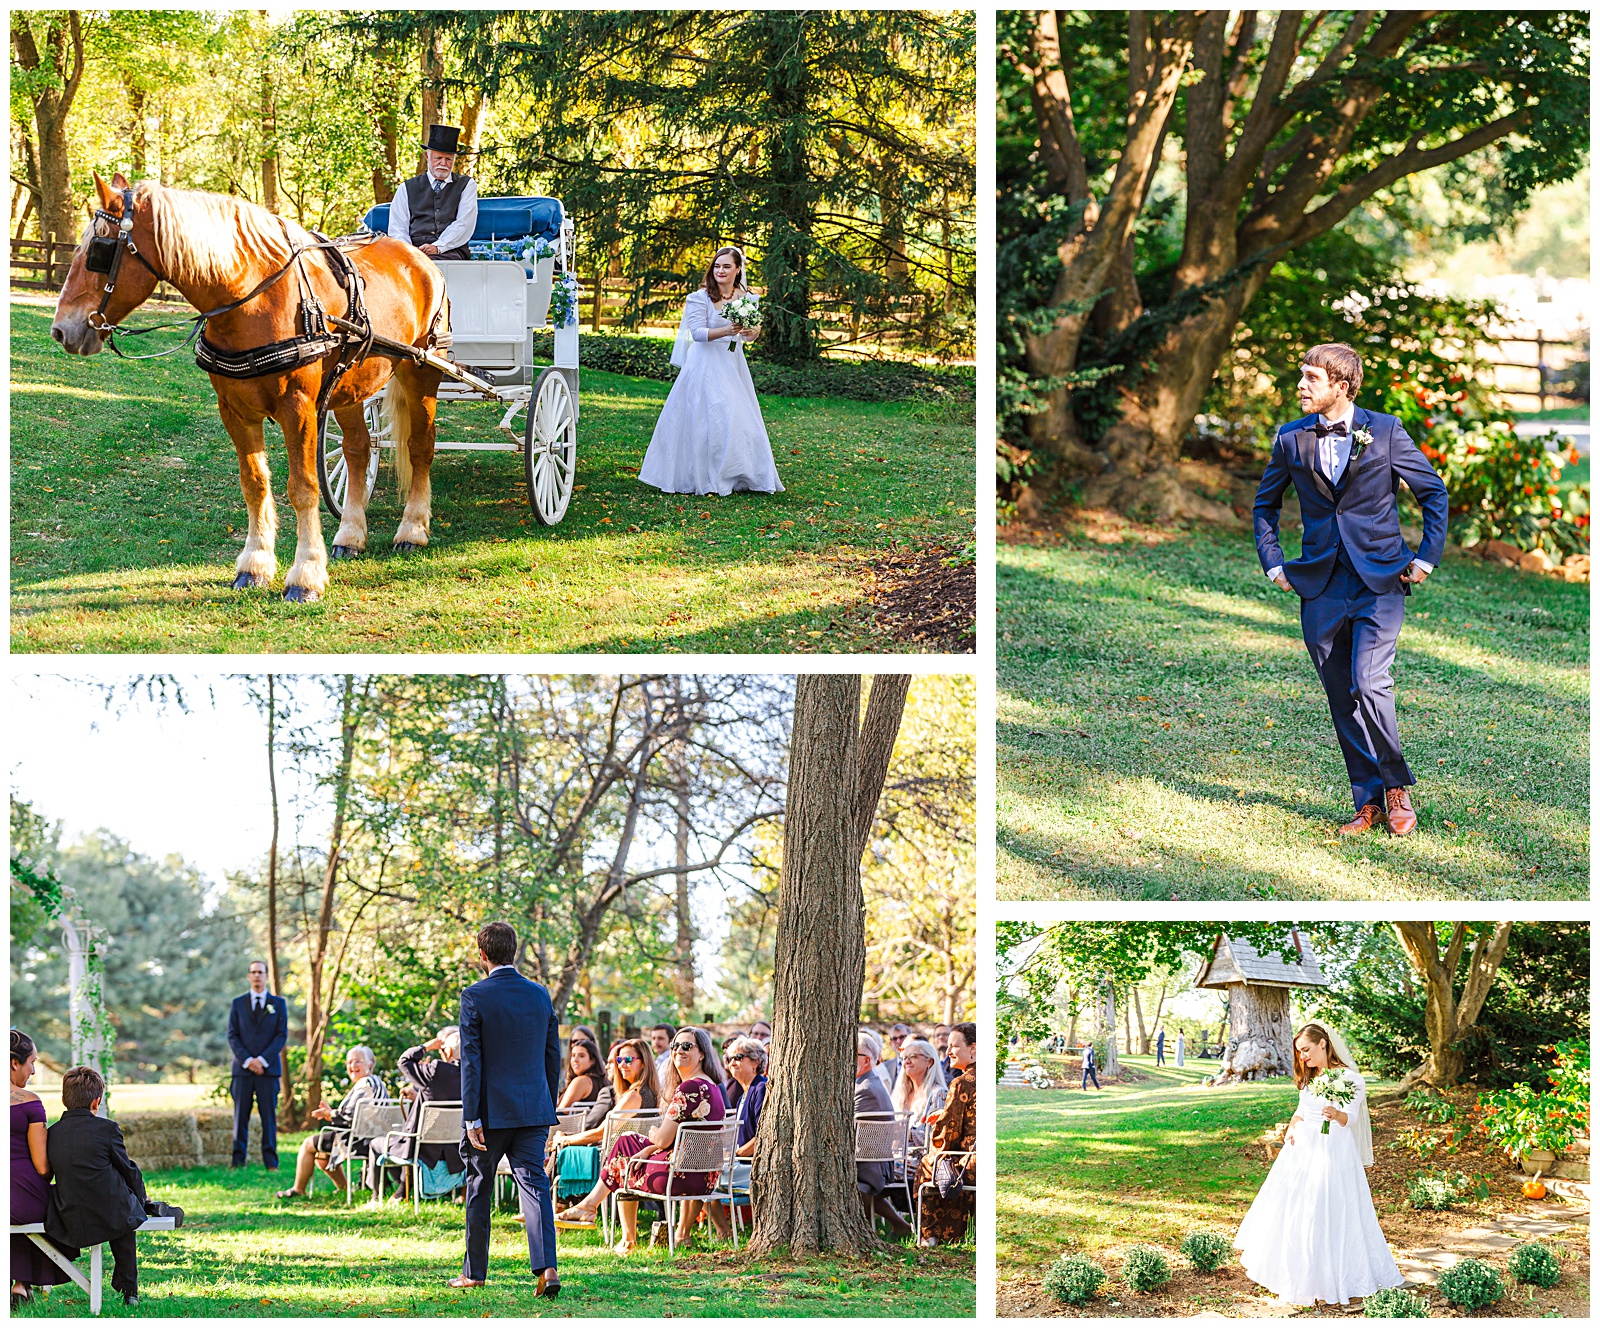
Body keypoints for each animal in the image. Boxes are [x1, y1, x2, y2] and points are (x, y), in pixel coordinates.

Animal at [53, 172, 448, 601]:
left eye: (98, 251)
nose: (61, 330)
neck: (252, 300)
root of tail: (419, 258)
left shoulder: (299, 409)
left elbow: (302, 486)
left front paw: (306, 573)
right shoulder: (234, 410)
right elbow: (254, 484)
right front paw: (255, 564)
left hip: (422, 373)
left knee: (421, 448)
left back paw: (412, 530)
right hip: (351, 386)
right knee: (358, 451)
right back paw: (350, 535)